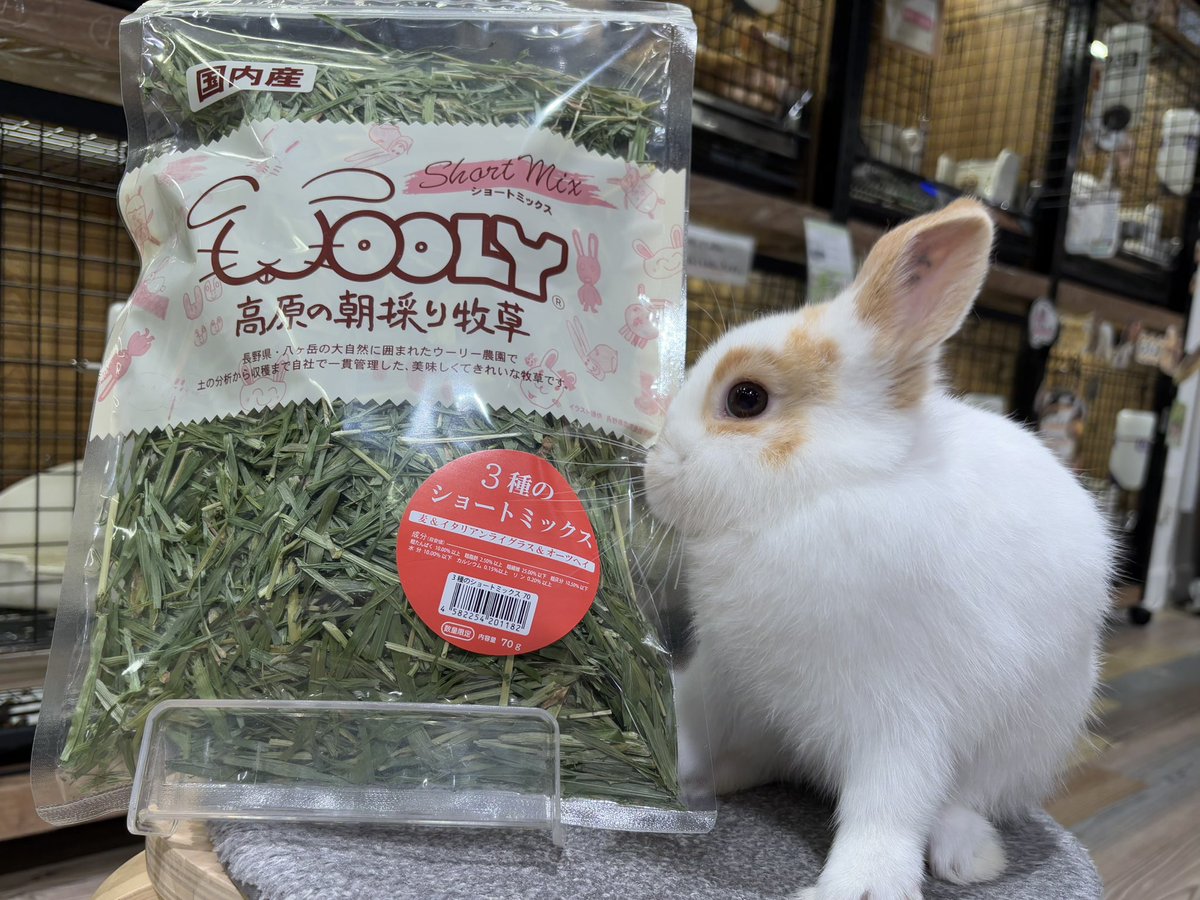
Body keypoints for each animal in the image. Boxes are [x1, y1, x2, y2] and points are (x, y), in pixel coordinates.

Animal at [644, 199, 1114, 900]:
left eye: (746, 398)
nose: (653, 470)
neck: (819, 494)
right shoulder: (724, 677)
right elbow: (690, 724)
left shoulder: (900, 714)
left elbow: (888, 806)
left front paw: (858, 887)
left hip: (1030, 737)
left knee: (961, 801)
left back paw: (968, 856)